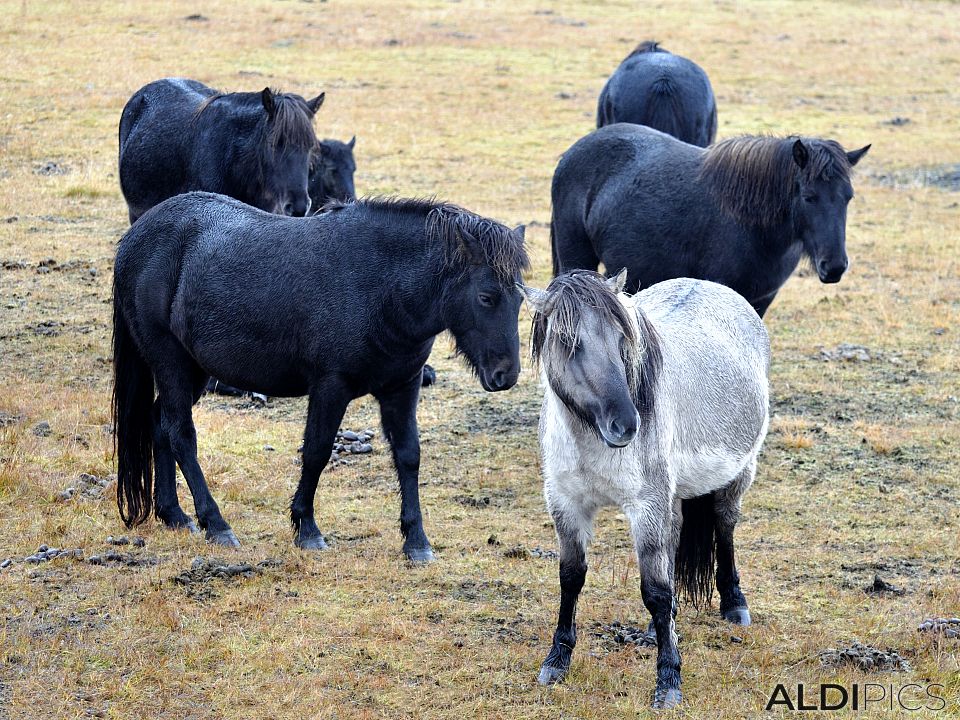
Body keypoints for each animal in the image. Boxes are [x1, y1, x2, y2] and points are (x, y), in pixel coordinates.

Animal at [115, 191, 528, 564]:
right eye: (487, 296)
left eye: (521, 298)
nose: (505, 374)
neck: (380, 284)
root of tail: (136, 238)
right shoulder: (331, 387)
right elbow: (316, 451)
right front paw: (307, 529)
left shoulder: (402, 386)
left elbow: (409, 456)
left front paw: (417, 541)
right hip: (171, 362)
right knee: (181, 434)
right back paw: (216, 524)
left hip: (194, 370)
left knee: (160, 423)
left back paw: (174, 515)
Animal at [520, 270, 768, 708]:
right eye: (567, 342)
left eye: (623, 339)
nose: (625, 424)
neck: (589, 439)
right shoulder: (566, 504)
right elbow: (571, 577)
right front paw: (557, 660)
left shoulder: (645, 506)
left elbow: (654, 590)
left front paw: (668, 681)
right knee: (675, 538)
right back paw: (661, 628)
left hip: (737, 474)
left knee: (725, 525)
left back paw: (734, 605)